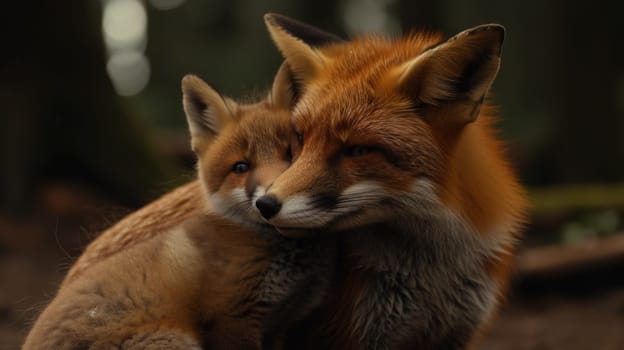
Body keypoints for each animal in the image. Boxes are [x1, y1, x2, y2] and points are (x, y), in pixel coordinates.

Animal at [22, 64, 338, 348]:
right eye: (241, 167)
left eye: (292, 154)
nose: (268, 202)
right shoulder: (232, 318)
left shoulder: (277, 325)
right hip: (174, 339)